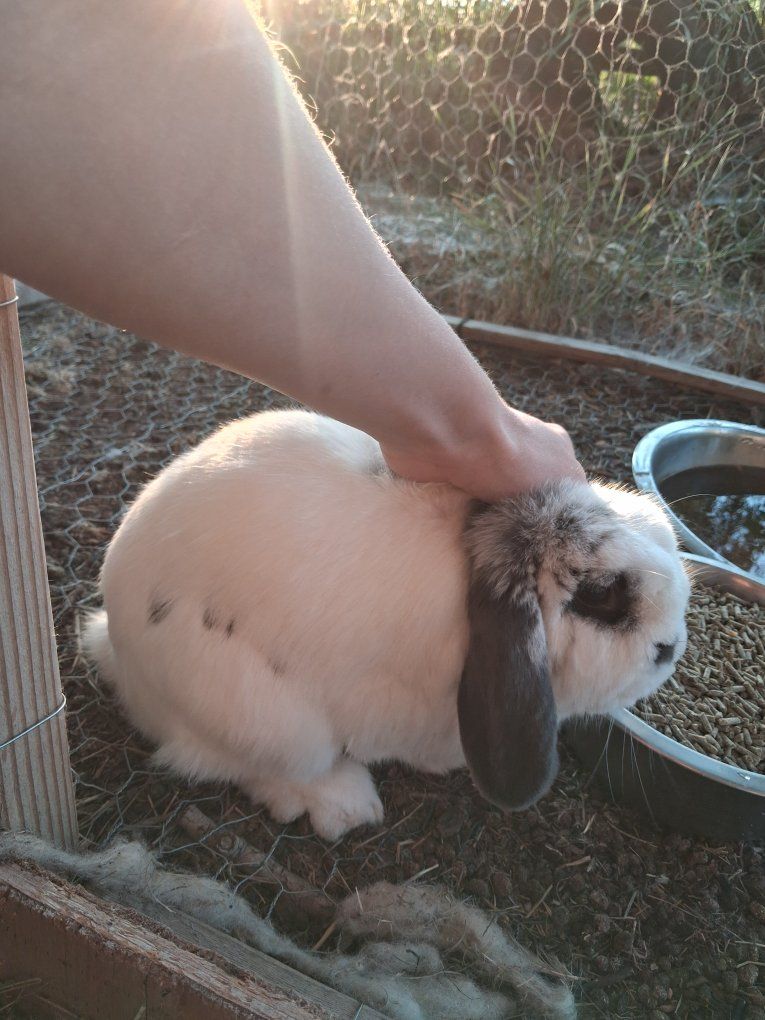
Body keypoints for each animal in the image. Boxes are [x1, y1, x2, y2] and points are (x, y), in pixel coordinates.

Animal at [82, 408, 690, 840]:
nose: (672, 648)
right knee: (242, 764)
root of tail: (117, 645)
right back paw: (345, 806)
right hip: (266, 721)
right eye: (602, 596)